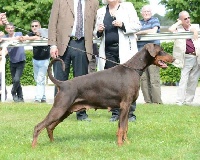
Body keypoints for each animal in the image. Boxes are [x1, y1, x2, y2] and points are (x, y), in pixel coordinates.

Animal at [32, 43, 174, 147]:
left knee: (50, 127)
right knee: (38, 126)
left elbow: (125, 127)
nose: (174, 58)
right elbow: (121, 127)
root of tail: (62, 84)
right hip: (59, 109)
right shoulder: (124, 105)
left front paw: (127, 143)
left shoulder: (128, 108)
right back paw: (34, 146)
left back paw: (53, 143)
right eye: (161, 51)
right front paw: (120, 145)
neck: (133, 69)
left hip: (65, 111)